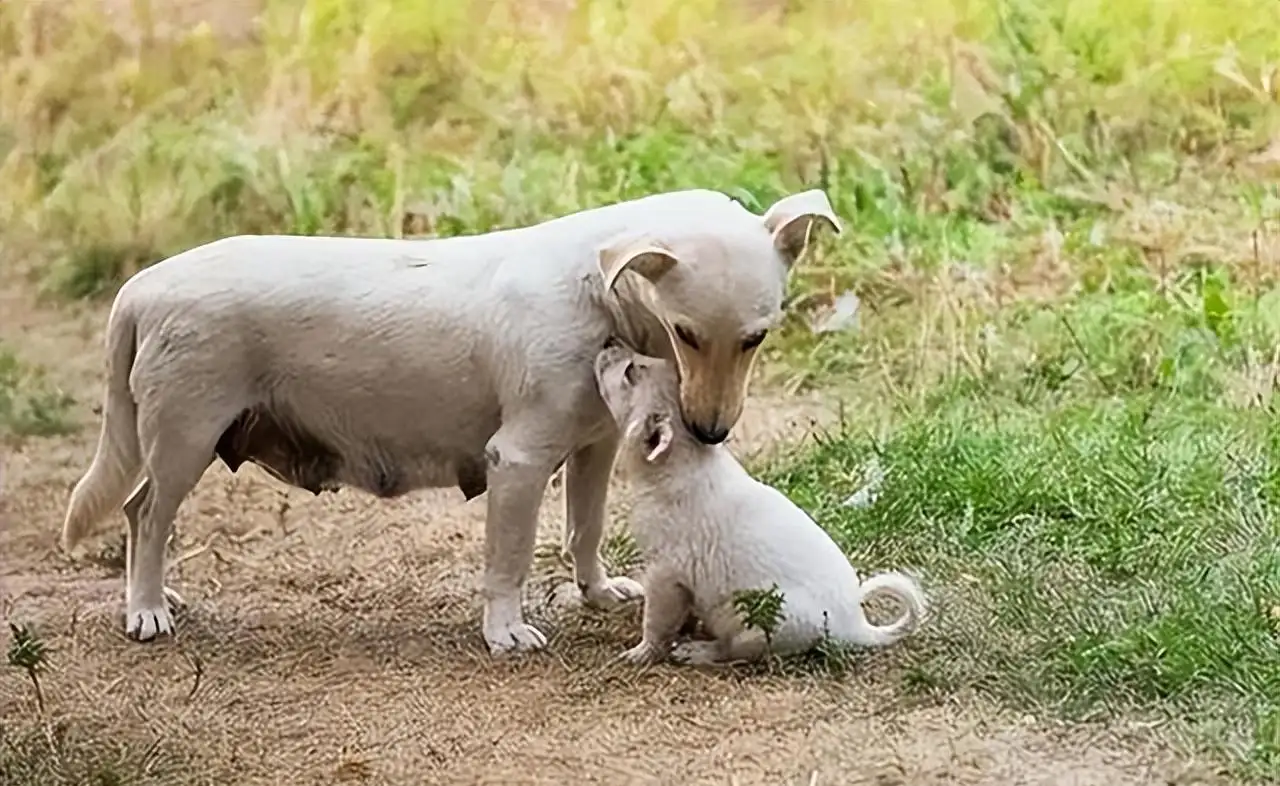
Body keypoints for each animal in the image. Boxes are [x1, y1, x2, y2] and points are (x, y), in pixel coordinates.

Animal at [62, 188, 839, 655]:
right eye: (685, 333)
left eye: (756, 338)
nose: (711, 432)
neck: (600, 293)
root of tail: (143, 286)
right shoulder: (519, 462)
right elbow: (509, 561)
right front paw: (505, 631)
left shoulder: (592, 447)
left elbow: (583, 531)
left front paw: (595, 593)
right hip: (183, 441)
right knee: (145, 517)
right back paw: (146, 609)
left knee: (138, 513)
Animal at [593, 345, 926, 665]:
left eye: (631, 372)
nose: (608, 345)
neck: (683, 458)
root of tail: (858, 628)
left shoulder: (664, 575)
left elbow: (656, 623)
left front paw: (641, 653)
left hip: (756, 622)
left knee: (734, 651)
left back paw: (699, 651)